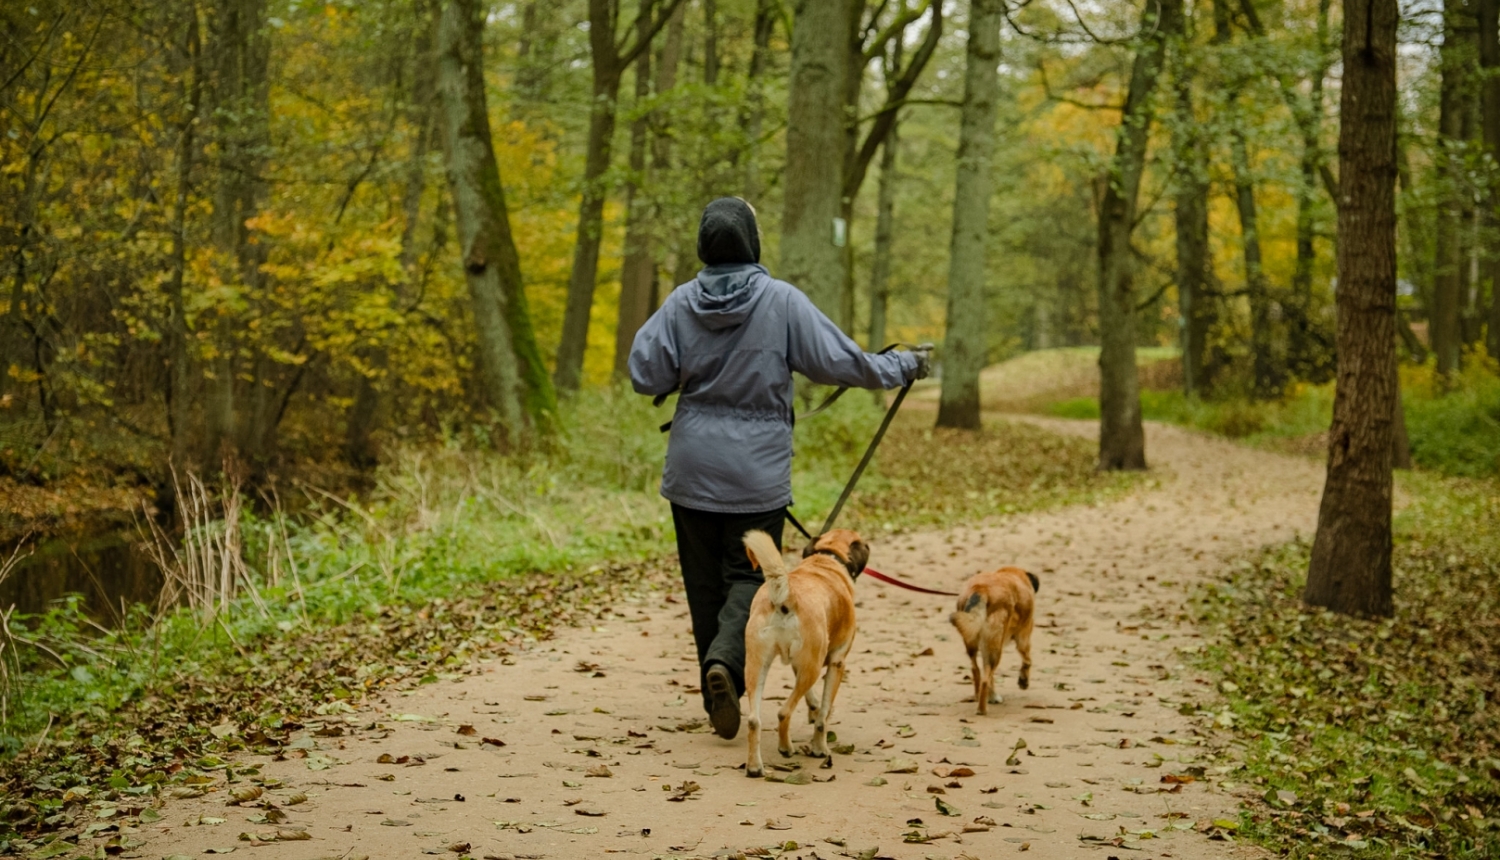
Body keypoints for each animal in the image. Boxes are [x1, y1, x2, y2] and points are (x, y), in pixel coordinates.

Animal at [738, 525, 870, 774]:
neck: (826, 559)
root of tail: (785, 595)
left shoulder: (799, 664)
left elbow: (813, 700)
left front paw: (813, 707)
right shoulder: (836, 663)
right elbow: (824, 715)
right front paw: (820, 748)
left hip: (757, 666)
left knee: (753, 720)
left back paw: (754, 767)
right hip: (813, 668)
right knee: (784, 712)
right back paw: (785, 748)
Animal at [954, 567, 1038, 714]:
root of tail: (980, 589)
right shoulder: (1024, 636)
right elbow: (1027, 660)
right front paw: (1023, 681)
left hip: (973, 642)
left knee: (977, 670)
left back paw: (982, 697)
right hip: (995, 648)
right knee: (985, 679)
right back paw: (982, 709)